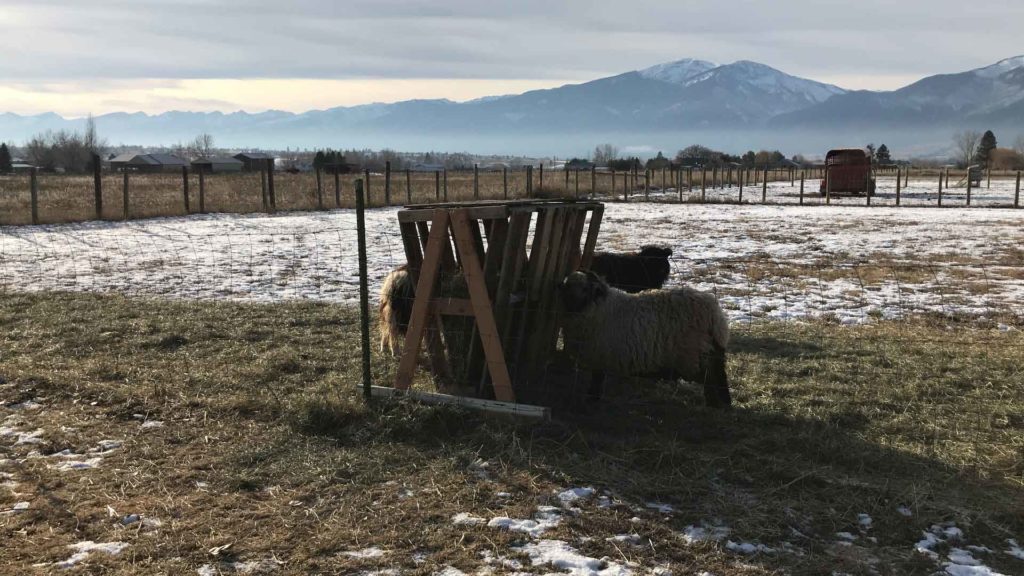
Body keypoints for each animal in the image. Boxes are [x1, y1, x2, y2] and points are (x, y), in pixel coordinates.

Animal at [557, 268, 733, 407]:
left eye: (586, 289)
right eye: (567, 286)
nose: (571, 303)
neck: (599, 307)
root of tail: (715, 314)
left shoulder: (600, 357)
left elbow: (597, 381)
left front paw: (592, 399)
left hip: (694, 354)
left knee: (711, 378)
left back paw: (715, 404)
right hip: (709, 351)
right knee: (718, 376)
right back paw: (723, 403)